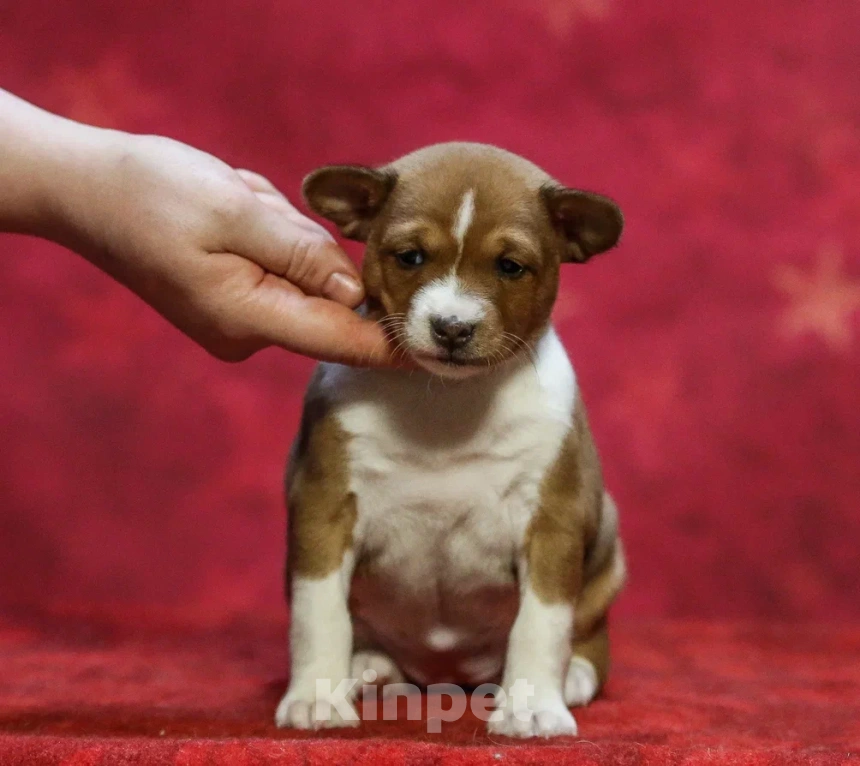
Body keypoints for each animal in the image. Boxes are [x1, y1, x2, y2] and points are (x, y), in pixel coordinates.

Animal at [278, 142, 628, 736]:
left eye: (510, 267)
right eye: (411, 257)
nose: (452, 327)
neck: (447, 400)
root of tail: (446, 676)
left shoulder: (552, 523)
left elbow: (541, 625)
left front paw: (532, 705)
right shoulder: (324, 509)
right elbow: (318, 613)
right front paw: (317, 695)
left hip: (607, 560)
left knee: (587, 638)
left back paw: (574, 677)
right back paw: (369, 669)